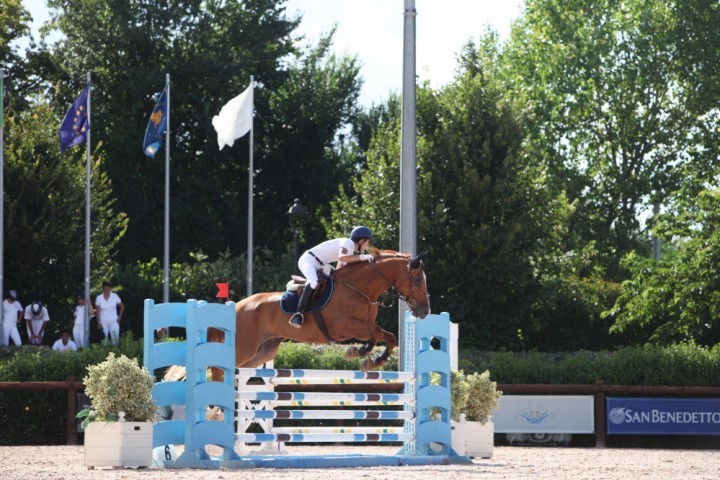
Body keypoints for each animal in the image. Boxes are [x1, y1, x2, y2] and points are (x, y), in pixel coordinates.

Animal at [211, 249, 430, 374]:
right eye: (419, 280)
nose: (425, 311)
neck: (359, 288)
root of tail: (237, 306)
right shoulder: (343, 328)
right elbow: (376, 333)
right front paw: (358, 352)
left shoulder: (362, 326)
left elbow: (388, 336)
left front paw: (372, 361)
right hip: (244, 348)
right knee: (218, 368)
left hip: (262, 352)